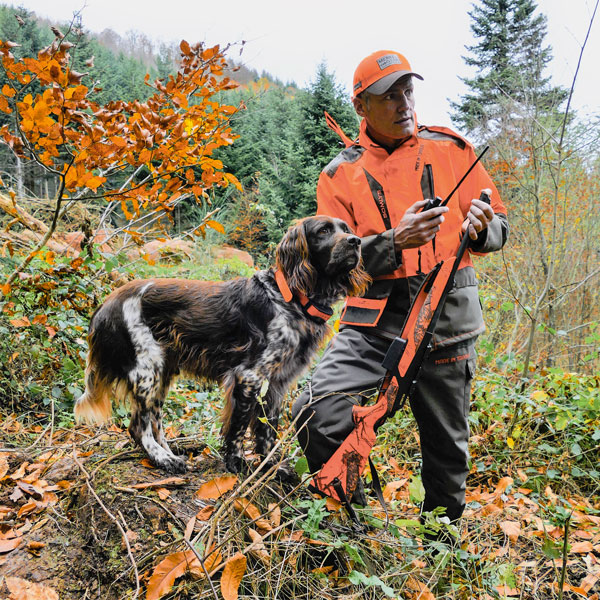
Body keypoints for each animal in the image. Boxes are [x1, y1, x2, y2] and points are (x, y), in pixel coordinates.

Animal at [75, 216, 370, 474]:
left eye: (346, 228)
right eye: (323, 231)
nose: (356, 241)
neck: (293, 298)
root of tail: (107, 303)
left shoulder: (276, 383)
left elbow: (267, 430)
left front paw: (271, 467)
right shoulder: (249, 376)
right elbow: (238, 427)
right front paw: (236, 463)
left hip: (163, 373)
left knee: (155, 423)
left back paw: (170, 453)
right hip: (147, 370)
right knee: (139, 427)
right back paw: (164, 460)